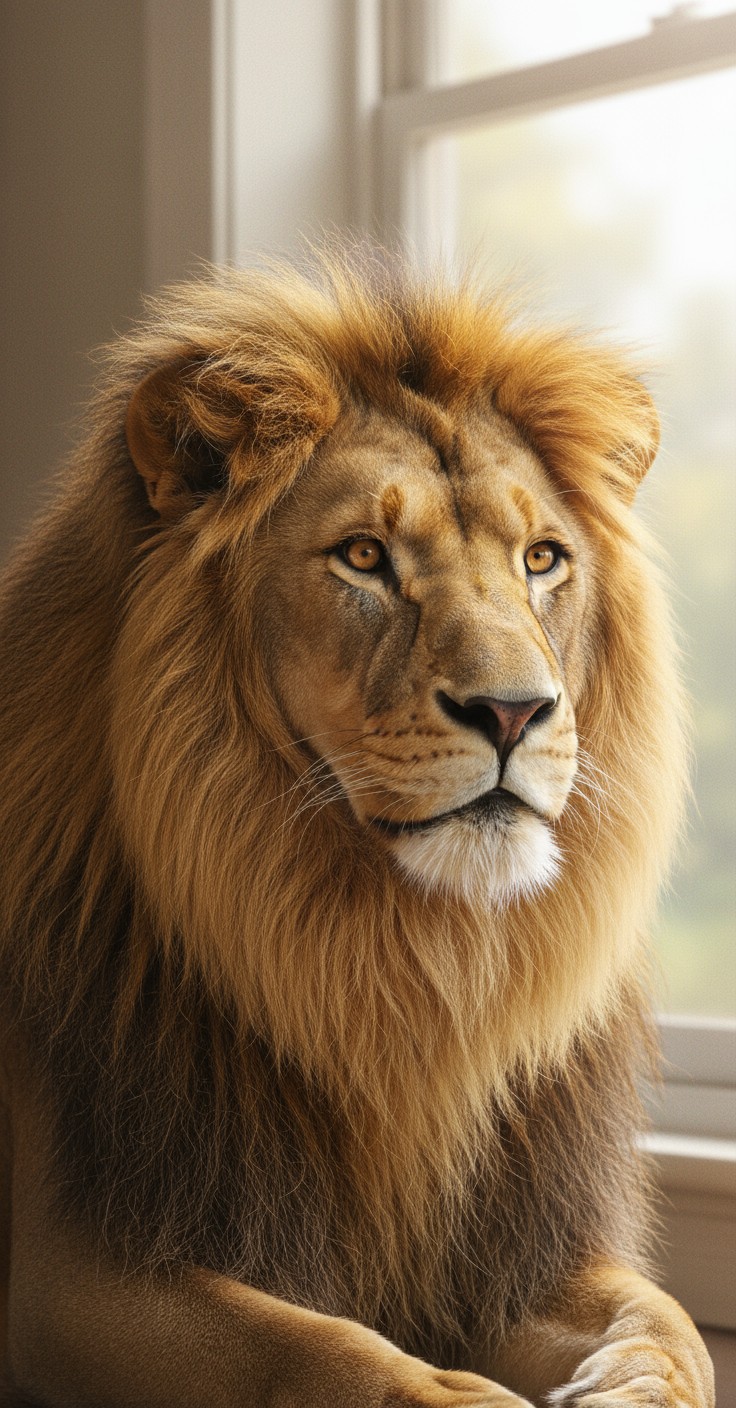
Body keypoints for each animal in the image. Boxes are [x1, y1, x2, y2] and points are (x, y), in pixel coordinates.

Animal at [0, 249, 714, 1407]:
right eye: (366, 556)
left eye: (542, 560)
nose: (514, 712)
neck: (391, 967)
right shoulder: (68, 1276)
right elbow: (313, 1348)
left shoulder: (522, 1247)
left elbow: (669, 1326)